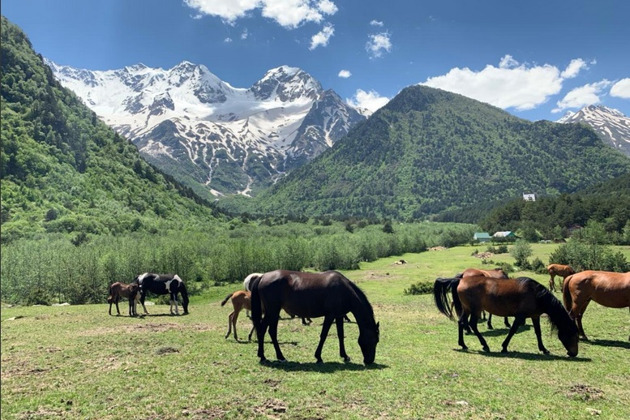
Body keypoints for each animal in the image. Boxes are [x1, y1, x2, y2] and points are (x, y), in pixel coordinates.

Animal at [249, 270, 380, 364]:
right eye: (374, 340)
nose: (369, 361)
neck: (344, 291)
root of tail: (262, 277)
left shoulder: (339, 316)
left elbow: (340, 335)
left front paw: (344, 356)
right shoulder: (330, 316)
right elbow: (324, 335)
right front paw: (318, 357)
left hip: (270, 313)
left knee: (262, 331)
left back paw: (262, 356)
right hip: (273, 312)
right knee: (271, 332)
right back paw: (280, 357)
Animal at [436, 278, 580, 356]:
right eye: (574, 335)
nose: (573, 353)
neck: (536, 294)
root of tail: (461, 280)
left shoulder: (535, 316)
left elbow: (538, 333)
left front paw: (544, 349)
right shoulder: (520, 317)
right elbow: (512, 331)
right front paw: (504, 347)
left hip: (467, 309)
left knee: (461, 322)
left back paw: (463, 344)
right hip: (475, 310)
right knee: (472, 325)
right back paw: (485, 345)